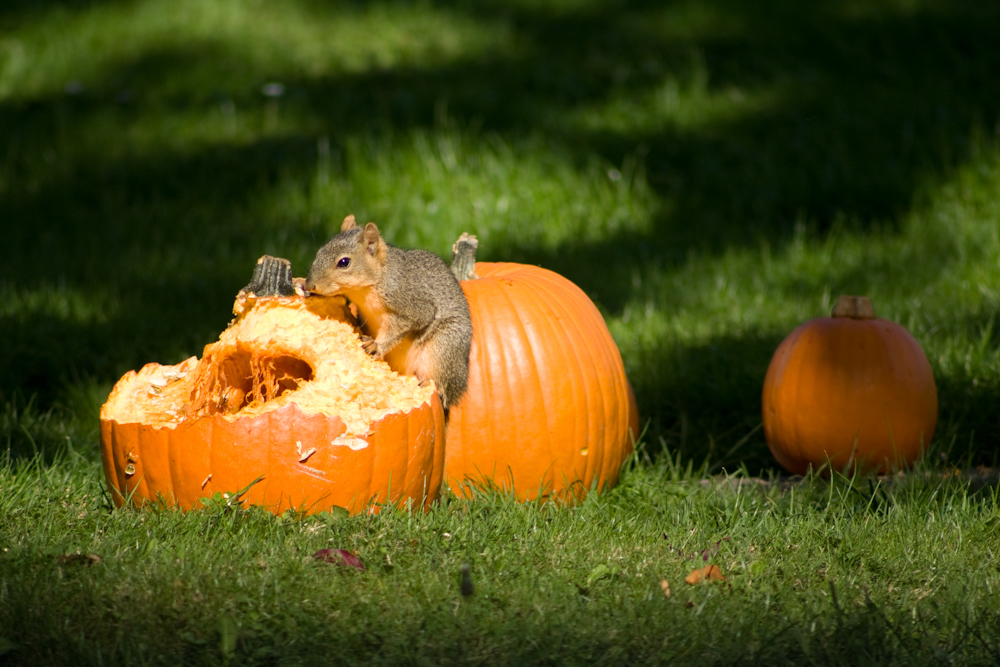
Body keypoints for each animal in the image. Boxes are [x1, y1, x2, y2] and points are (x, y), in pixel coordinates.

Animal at [304, 217, 472, 412]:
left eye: (344, 262)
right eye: (319, 252)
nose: (310, 285)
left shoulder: (412, 304)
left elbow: (403, 325)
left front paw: (376, 345)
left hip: (444, 348)